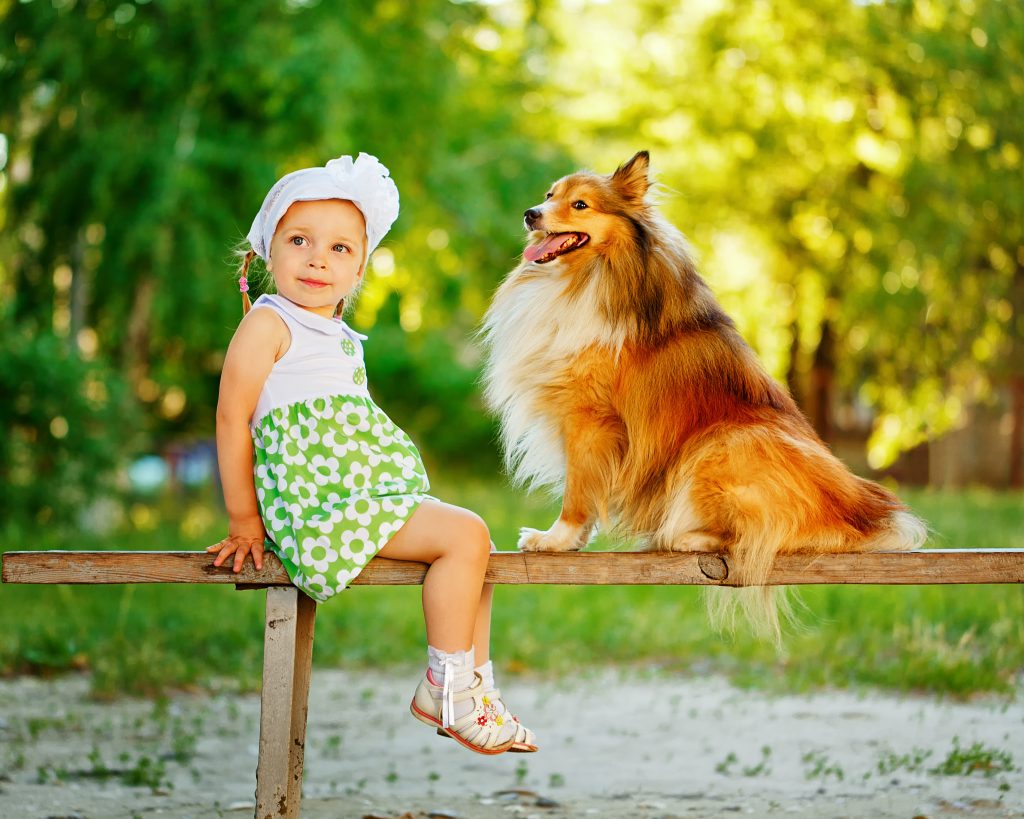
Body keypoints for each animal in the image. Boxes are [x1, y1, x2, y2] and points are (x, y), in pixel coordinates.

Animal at [479, 151, 929, 638]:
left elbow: (579, 492)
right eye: (549, 195)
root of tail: (865, 514)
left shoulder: (590, 418)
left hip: (722, 443)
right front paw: (572, 542)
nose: (531, 214)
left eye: (579, 204)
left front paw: (555, 540)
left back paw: (681, 534)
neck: (592, 275)